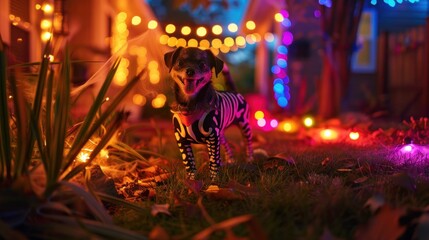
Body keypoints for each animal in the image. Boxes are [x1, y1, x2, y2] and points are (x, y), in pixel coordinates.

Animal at [163, 47, 251, 182]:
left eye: (202, 65)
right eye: (180, 63)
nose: (190, 71)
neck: (191, 104)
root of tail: (233, 91)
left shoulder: (212, 137)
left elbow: (214, 161)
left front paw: (214, 181)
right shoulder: (181, 140)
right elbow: (189, 162)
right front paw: (192, 180)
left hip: (244, 125)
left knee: (248, 144)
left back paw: (250, 160)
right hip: (221, 134)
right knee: (227, 147)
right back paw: (230, 161)